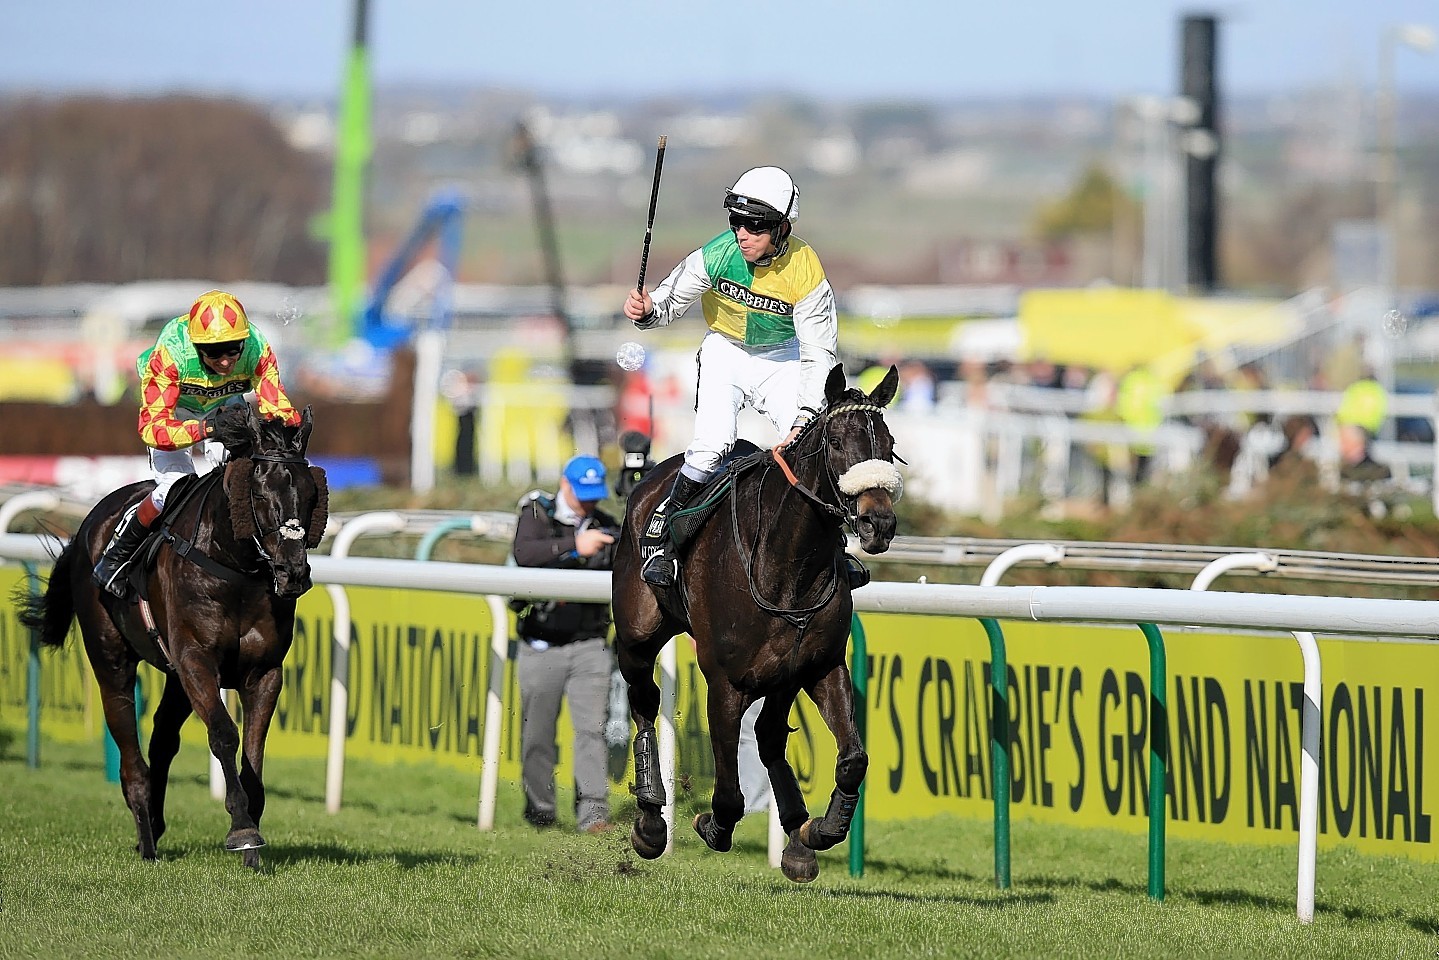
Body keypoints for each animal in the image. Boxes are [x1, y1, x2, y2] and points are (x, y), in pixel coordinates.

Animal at [16, 402, 326, 869]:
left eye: (310, 494)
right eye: (259, 492)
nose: (293, 574)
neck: (234, 568)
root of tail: (90, 520)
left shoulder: (264, 671)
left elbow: (254, 750)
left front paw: (253, 837)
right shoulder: (196, 659)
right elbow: (224, 734)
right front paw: (243, 830)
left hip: (175, 674)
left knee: (162, 738)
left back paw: (156, 824)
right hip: (111, 659)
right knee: (129, 745)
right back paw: (146, 838)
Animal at [613, 364, 903, 880]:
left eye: (888, 444)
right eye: (836, 443)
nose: (878, 524)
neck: (788, 563)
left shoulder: (820, 665)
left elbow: (853, 758)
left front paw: (820, 829)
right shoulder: (723, 681)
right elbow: (729, 793)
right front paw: (710, 825)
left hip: (783, 675)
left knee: (769, 736)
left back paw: (798, 837)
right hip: (636, 633)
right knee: (644, 699)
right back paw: (649, 817)